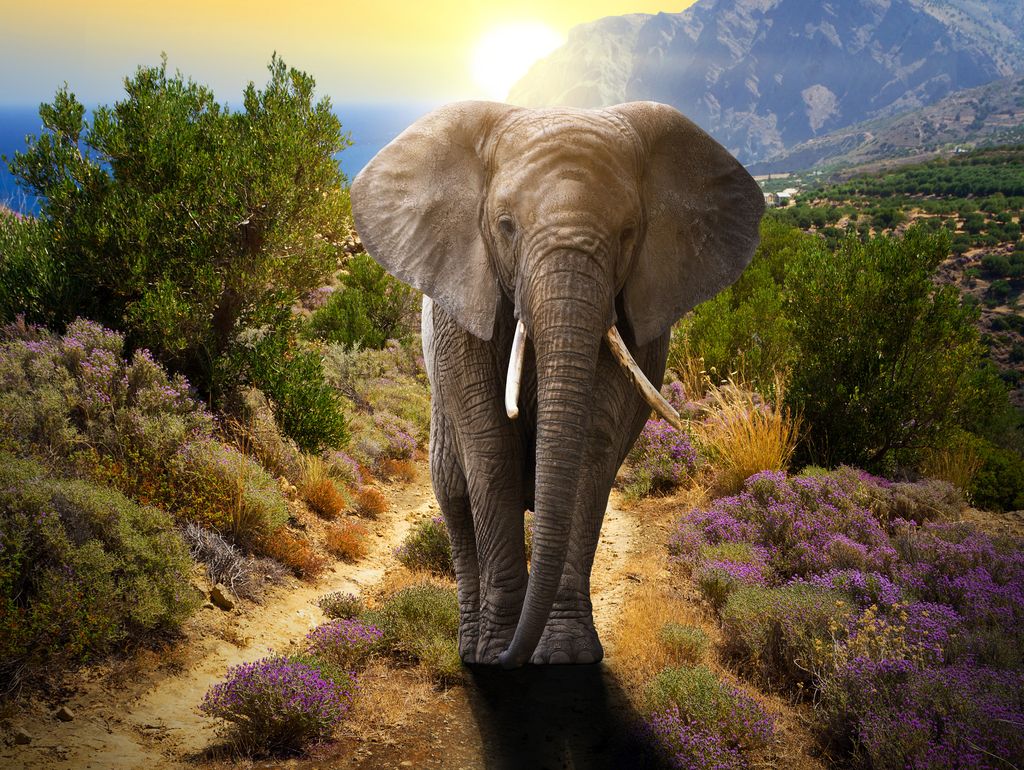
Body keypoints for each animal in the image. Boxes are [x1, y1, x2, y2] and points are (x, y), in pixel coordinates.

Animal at [350, 101, 764, 668]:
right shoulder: (463, 305)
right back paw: (471, 648)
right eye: (505, 226)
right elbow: (491, 449)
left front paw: (566, 655)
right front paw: (496, 654)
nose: (511, 659)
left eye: (629, 232)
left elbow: (591, 447)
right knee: (453, 493)